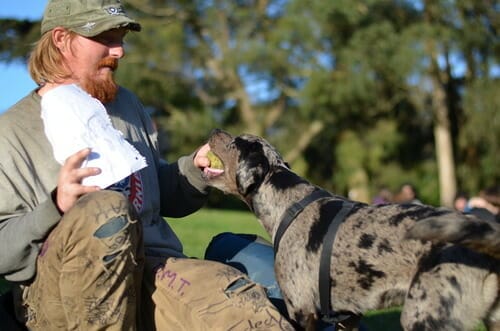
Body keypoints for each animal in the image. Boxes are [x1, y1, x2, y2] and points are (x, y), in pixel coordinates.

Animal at [201, 130, 498, 331]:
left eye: (234, 142)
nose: (215, 130)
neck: (288, 203)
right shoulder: (348, 316)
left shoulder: (301, 310)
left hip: (423, 317)